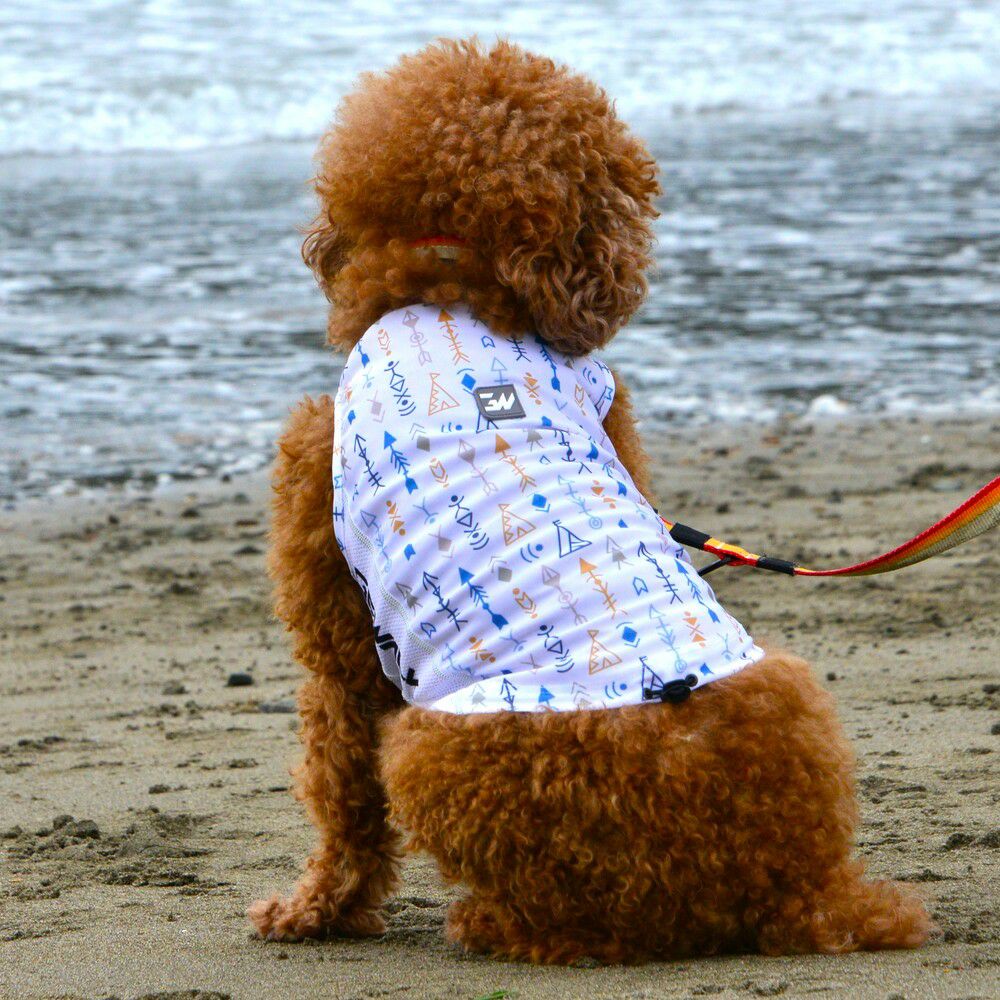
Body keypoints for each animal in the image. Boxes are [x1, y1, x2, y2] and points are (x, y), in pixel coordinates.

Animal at [249, 38, 931, 963]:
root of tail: (795, 892)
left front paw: (316, 907)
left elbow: (343, 798)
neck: (452, 286)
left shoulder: (341, 649)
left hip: (433, 747)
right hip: (787, 693)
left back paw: (495, 922)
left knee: (576, 924)